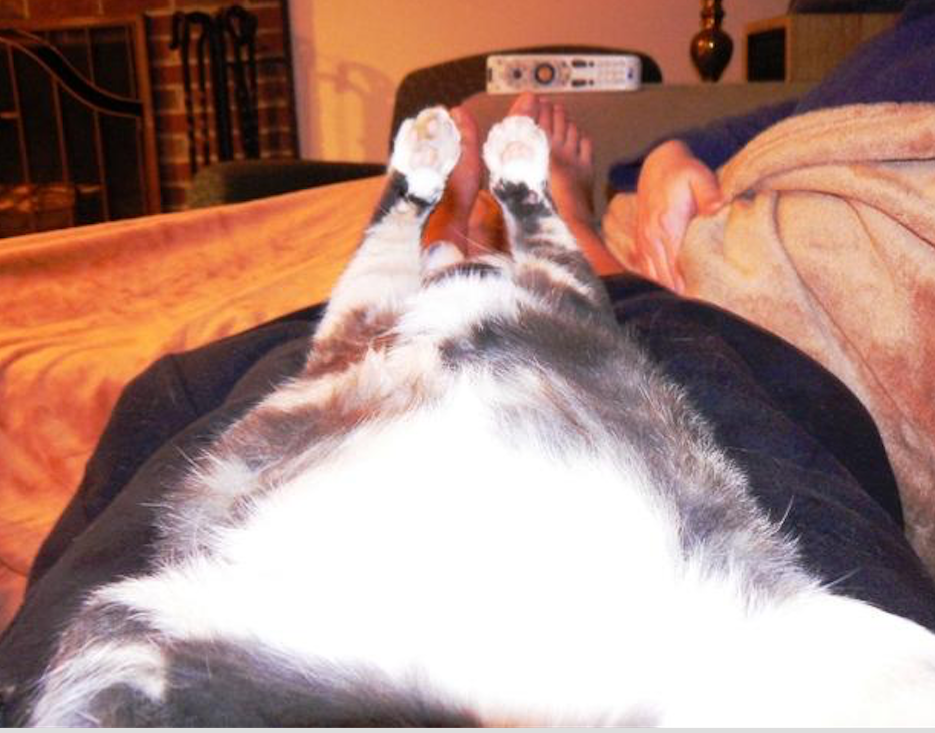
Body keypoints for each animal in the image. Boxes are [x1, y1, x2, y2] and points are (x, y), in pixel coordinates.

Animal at [22, 108, 935, 726]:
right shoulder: (565, 290)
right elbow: (537, 226)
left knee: (397, 244)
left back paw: (452, 162)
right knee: (410, 228)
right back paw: (450, 150)